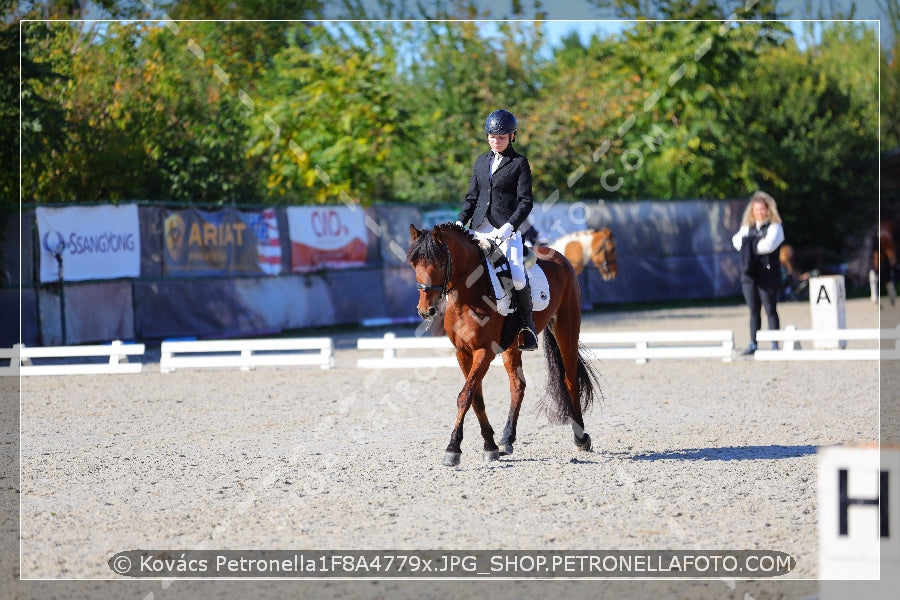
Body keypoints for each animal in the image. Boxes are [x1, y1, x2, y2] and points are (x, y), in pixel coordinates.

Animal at [406, 223, 600, 466]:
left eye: (440, 264)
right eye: (414, 264)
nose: (426, 311)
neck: (468, 296)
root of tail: (559, 256)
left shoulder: (485, 351)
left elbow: (465, 396)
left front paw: (453, 448)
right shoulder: (463, 353)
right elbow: (476, 398)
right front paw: (490, 445)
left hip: (566, 329)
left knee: (570, 380)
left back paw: (581, 437)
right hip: (512, 345)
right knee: (517, 385)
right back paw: (507, 439)